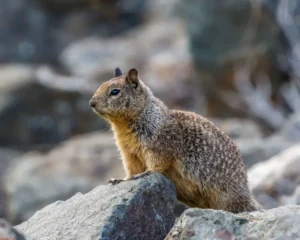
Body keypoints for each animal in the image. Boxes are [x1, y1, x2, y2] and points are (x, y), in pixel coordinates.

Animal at [89, 68, 262, 214]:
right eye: (100, 86)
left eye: (115, 91)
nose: (91, 103)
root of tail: (247, 193)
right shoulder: (128, 153)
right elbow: (131, 169)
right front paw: (120, 179)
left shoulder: (159, 145)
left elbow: (157, 164)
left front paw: (144, 174)